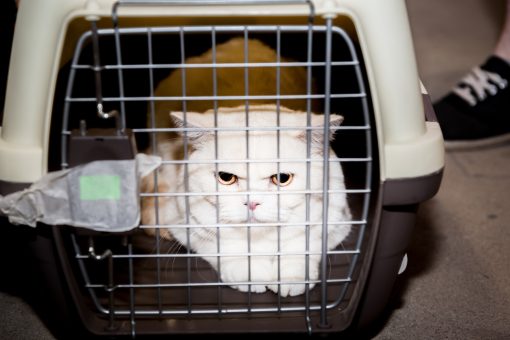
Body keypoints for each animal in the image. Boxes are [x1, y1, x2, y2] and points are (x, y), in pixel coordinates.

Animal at [141, 105, 352, 296]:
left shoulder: (337, 220)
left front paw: (292, 275)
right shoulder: (182, 220)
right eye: (226, 177)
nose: (252, 203)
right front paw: (248, 270)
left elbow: (302, 242)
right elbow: (222, 242)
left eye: (282, 178)